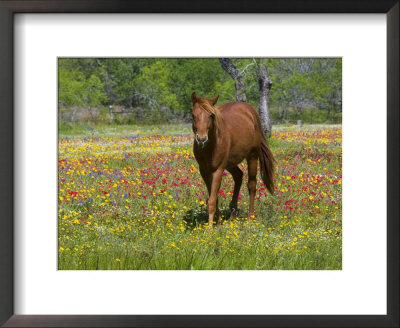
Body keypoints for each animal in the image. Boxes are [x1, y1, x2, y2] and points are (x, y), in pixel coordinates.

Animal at [191, 91, 276, 227]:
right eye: (193, 115)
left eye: (211, 115)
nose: (201, 138)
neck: (211, 147)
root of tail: (250, 111)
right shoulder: (204, 171)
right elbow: (213, 199)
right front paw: (217, 222)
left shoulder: (218, 171)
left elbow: (211, 201)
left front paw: (210, 229)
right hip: (231, 163)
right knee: (238, 176)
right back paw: (232, 211)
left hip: (252, 156)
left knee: (252, 185)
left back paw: (250, 217)